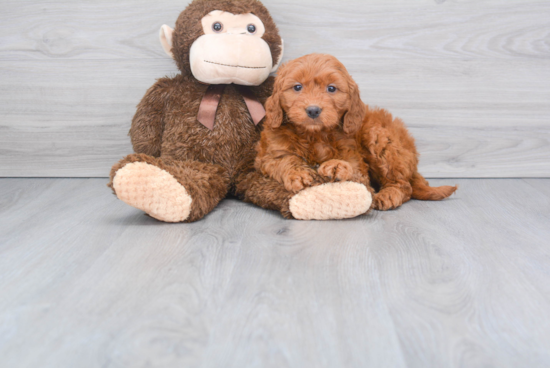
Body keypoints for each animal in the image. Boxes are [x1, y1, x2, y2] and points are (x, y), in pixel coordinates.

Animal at [256, 53, 454, 211]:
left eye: (331, 88)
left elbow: (355, 171)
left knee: (404, 186)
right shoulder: (268, 155)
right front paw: (299, 173)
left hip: (380, 139)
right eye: (297, 87)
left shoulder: (356, 161)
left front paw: (337, 165)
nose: (313, 110)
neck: (315, 135)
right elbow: (283, 160)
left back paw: (388, 195)